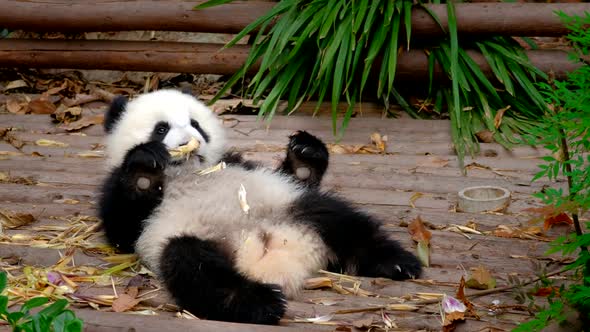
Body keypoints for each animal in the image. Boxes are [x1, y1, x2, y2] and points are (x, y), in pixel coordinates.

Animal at [99, 89, 426, 326]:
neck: (190, 174)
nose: (189, 142)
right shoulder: (126, 200)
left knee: (336, 218)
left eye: (195, 124)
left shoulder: (237, 163)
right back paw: (262, 303)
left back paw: (396, 262)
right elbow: (122, 228)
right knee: (192, 264)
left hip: (288, 206)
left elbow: (294, 176)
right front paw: (145, 166)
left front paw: (305, 155)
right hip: (184, 239)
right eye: (161, 128)